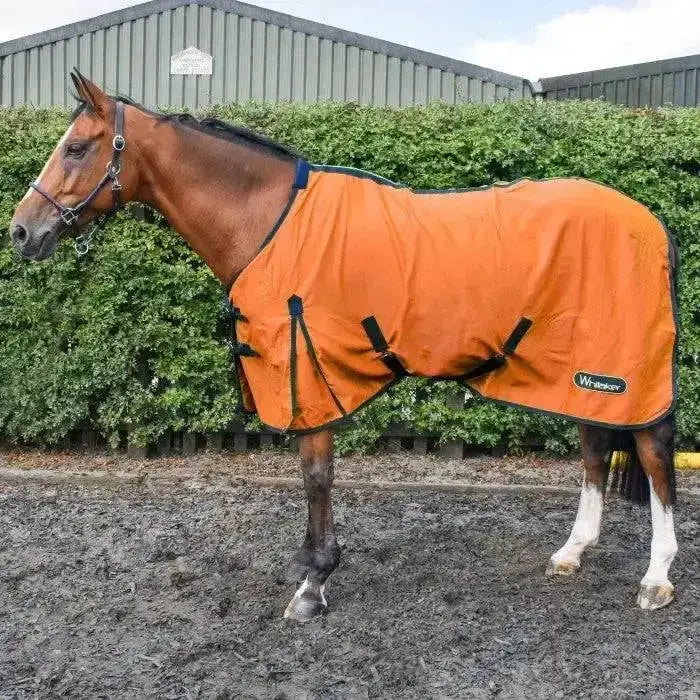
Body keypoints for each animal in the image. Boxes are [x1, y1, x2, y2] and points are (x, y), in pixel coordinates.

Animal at [9, 71, 679, 622]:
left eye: (76, 147)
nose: (21, 231)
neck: (269, 222)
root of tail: (650, 220)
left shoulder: (306, 370)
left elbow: (316, 475)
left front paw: (315, 583)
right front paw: (307, 564)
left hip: (622, 369)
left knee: (653, 453)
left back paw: (656, 577)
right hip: (579, 369)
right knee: (595, 448)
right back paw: (572, 552)